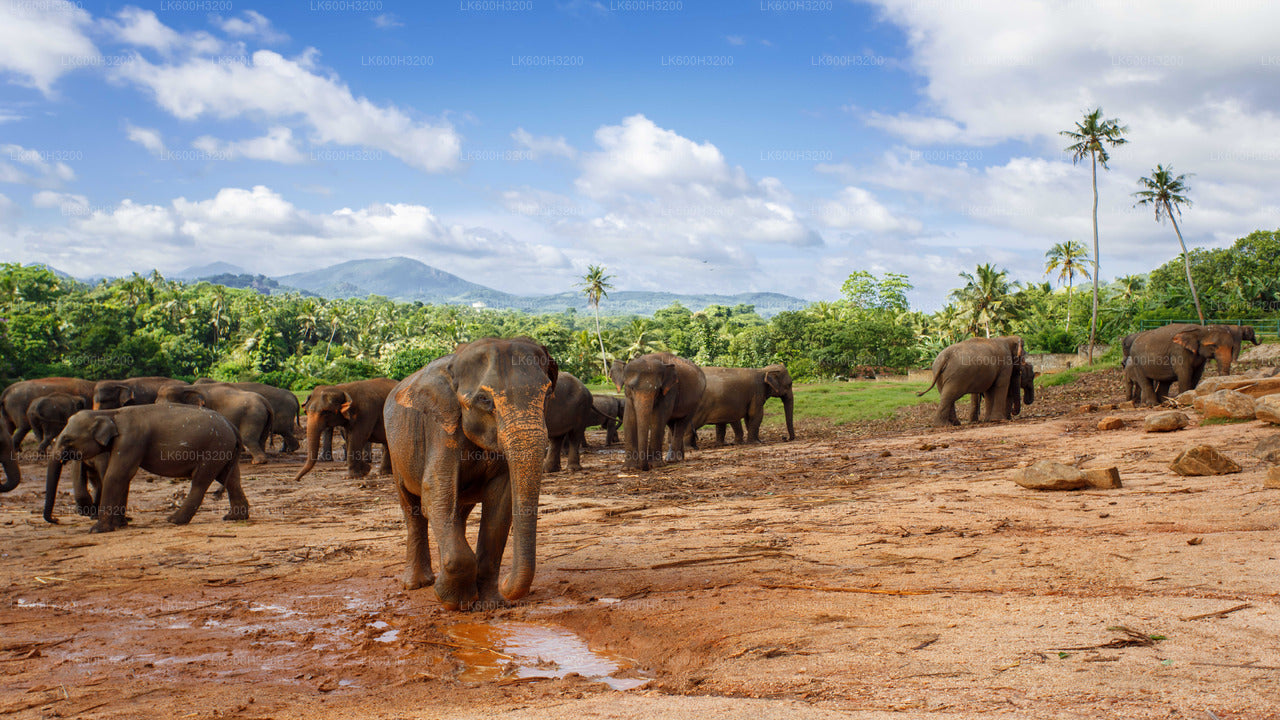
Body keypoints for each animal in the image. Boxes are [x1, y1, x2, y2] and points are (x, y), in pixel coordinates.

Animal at [43, 404, 247, 532]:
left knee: (200, 481)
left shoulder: (131, 439)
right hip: (223, 451)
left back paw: (174, 520)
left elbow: (116, 475)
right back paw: (234, 518)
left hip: (214, 448)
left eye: (67, 439)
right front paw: (121, 524)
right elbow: (123, 478)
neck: (110, 413)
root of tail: (231, 425)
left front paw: (97, 530)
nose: (56, 519)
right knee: (230, 480)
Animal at [384, 337, 557, 610]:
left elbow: (501, 502)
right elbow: (435, 491)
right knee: (412, 509)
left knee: (458, 512)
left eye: (548, 393)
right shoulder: (441, 427)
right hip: (395, 452)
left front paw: (491, 603)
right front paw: (453, 601)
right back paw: (417, 584)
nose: (507, 584)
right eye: (485, 400)